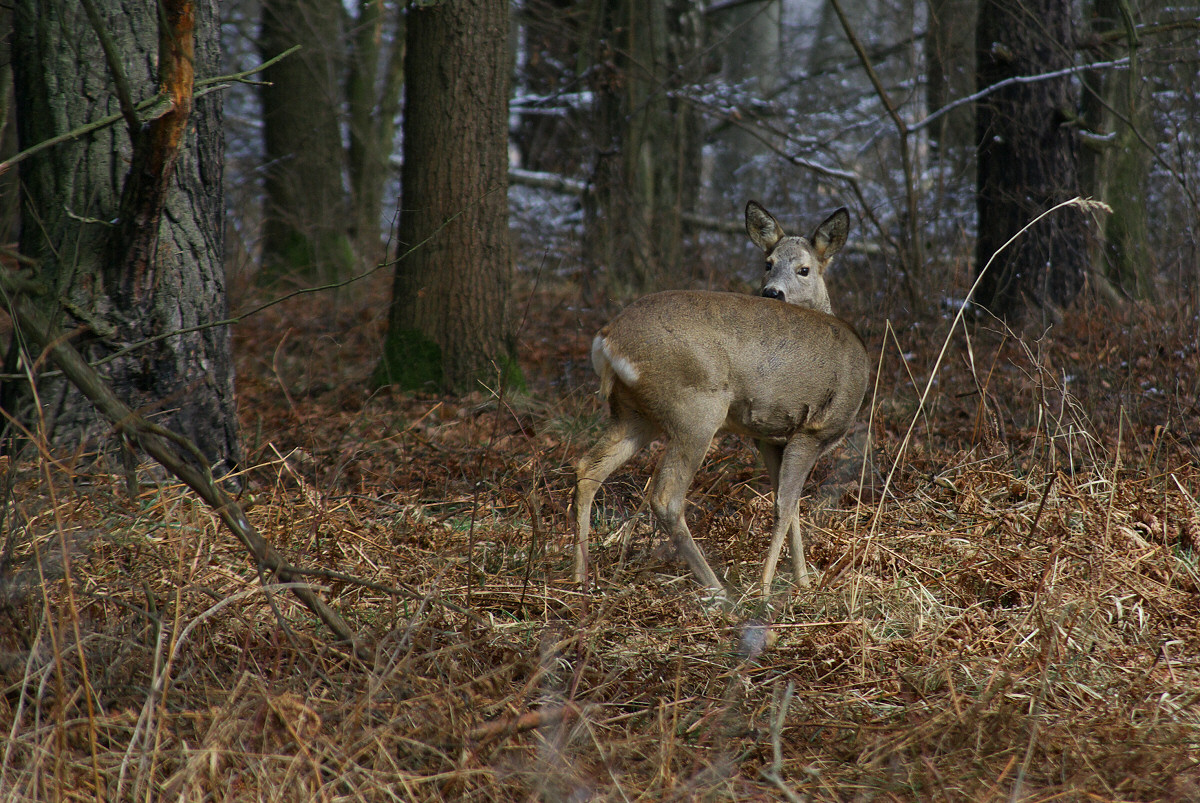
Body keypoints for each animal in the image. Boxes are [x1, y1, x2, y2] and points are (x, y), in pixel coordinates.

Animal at [573, 204, 868, 597]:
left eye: (803, 269)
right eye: (768, 263)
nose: (771, 292)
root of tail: (608, 339)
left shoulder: (770, 437)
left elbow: (789, 506)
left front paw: (802, 581)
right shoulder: (814, 429)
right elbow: (785, 504)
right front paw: (767, 588)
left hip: (633, 414)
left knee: (588, 468)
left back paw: (579, 577)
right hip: (696, 410)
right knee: (665, 497)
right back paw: (718, 591)